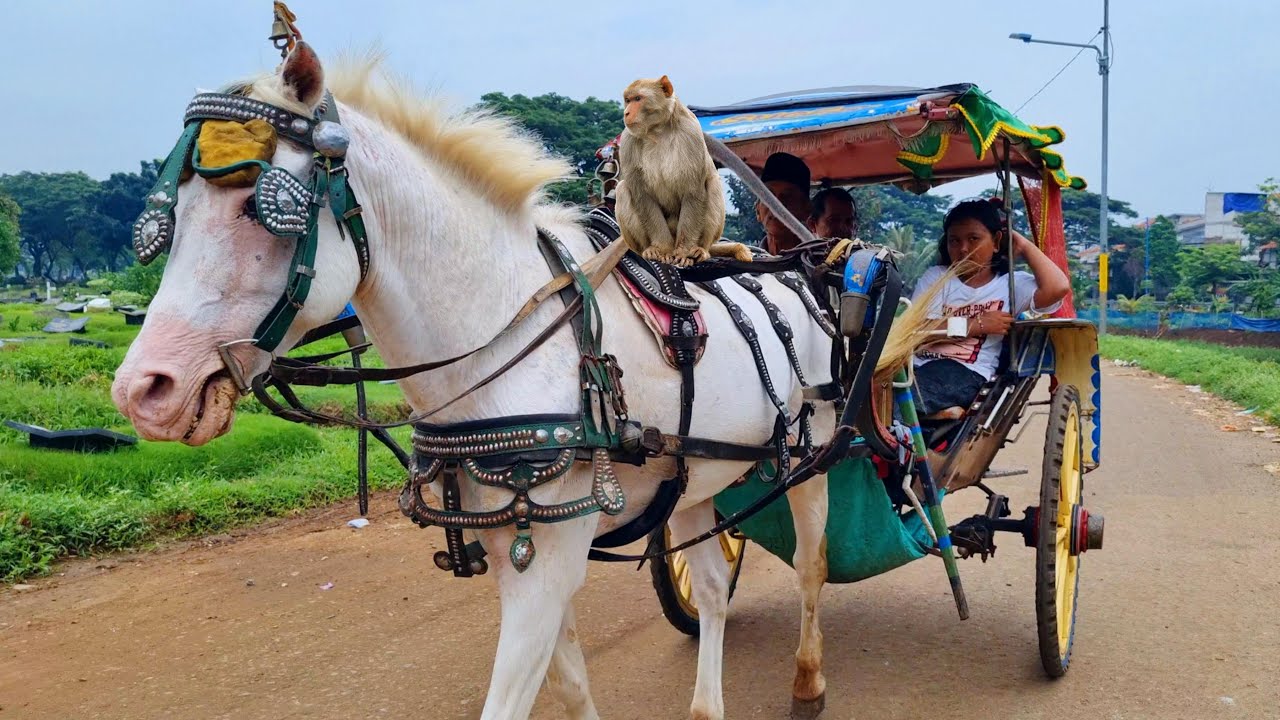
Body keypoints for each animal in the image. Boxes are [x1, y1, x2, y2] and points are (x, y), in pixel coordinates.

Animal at [616, 75, 752, 267]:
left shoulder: (691, 134)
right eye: (627, 100)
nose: (626, 113)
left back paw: (701, 250)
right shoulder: (627, 141)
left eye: (637, 98)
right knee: (623, 189)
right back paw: (650, 250)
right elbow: (642, 196)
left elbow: (693, 192)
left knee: (712, 184)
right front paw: (662, 249)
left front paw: (684, 252)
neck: (657, 130)